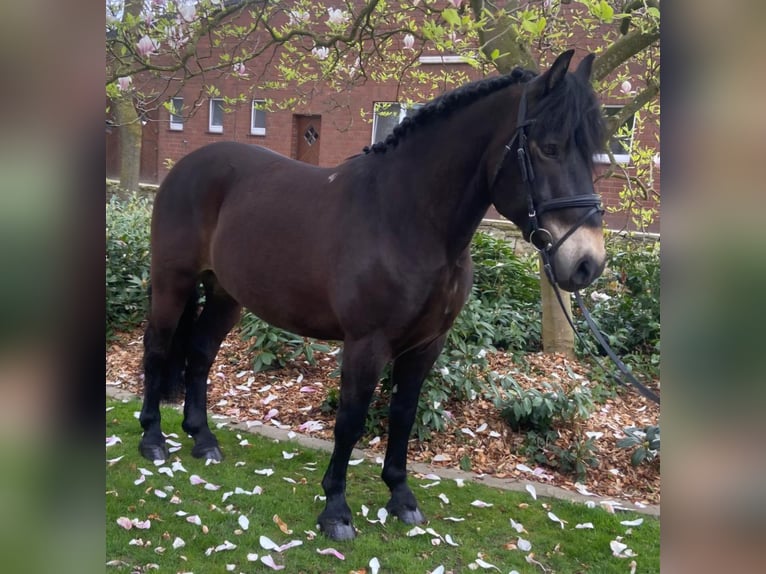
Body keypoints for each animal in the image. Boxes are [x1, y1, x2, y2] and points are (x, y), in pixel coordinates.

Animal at [138, 49, 606, 540]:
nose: (587, 262)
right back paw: (153, 440)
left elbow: (402, 414)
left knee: (200, 353)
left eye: (593, 151)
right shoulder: (367, 344)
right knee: (157, 349)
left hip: (226, 294)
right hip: (172, 282)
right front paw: (336, 510)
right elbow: (350, 421)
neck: (406, 218)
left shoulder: (426, 345)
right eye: (549, 147)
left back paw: (203, 439)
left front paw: (401, 497)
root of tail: (187, 166)